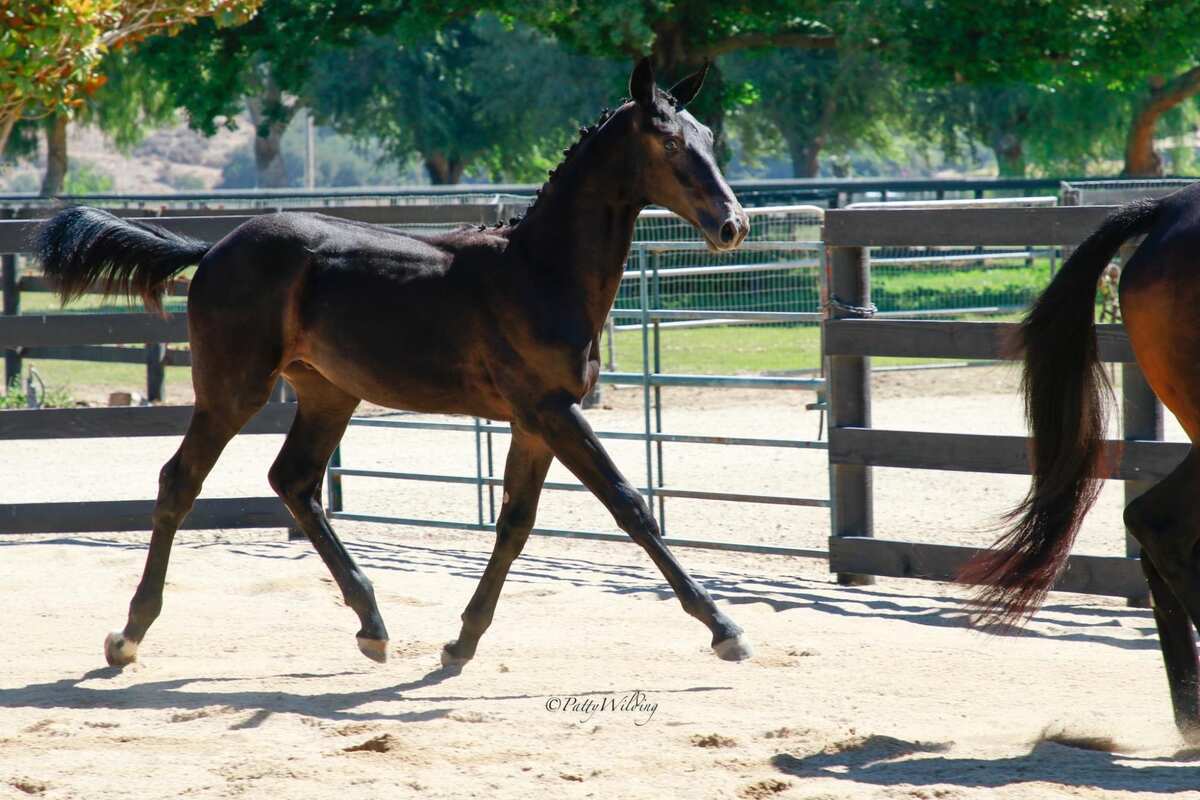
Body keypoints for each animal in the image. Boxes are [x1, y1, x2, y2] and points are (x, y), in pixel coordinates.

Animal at [34, 58, 752, 669]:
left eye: (708, 135)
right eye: (667, 143)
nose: (733, 225)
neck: (538, 272)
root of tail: (212, 250)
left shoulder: (533, 423)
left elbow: (514, 523)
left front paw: (461, 642)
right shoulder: (553, 411)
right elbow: (631, 506)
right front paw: (725, 629)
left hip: (327, 393)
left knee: (294, 481)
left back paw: (372, 625)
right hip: (232, 390)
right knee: (180, 481)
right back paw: (128, 634)